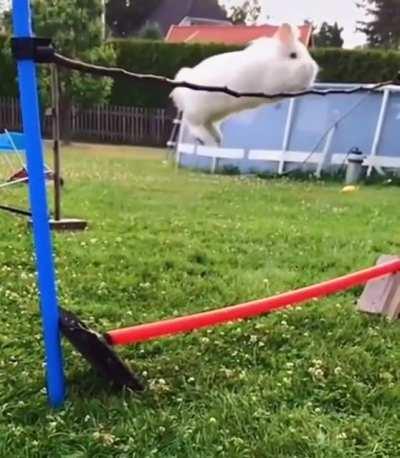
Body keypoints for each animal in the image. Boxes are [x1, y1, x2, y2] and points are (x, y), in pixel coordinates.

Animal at [170, 24, 318, 146]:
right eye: (293, 55)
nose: (312, 69)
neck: (273, 62)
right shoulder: (271, 86)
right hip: (197, 111)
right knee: (193, 125)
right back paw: (203, 138)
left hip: (216, 114)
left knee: (208, 124)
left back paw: (218, 138)